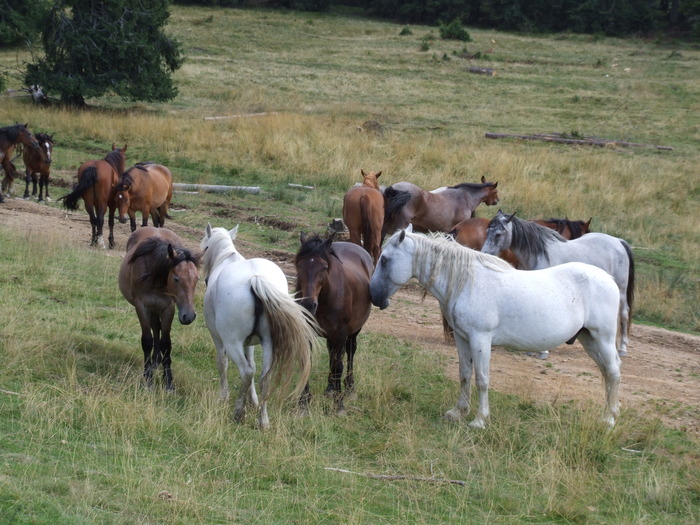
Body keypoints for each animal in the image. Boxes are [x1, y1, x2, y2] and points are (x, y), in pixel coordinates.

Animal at [117, 225, 202, 388]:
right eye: (176, 278)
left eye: (196, 279)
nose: (189, 316)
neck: (155, 278)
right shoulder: (142, 307)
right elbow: (147, 340)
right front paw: (148, 378)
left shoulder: (168, 308)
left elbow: (166, 343)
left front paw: (168, 382)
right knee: (155, 330)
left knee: (157, 330)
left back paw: (157, 361)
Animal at [197, 223, 318, 428]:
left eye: (204, 245)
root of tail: (255, 279)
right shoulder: (251, 343)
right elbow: (253, 365)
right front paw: (253, 401)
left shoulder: (219, 340)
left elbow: (223, 364)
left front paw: (224, 397)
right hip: (268, 342)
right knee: (264, 377)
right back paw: (263, 421)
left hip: (232, 343)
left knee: (246, 372)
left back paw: (239, 411)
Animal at [294, 231, 374, 412]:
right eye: (299, 265)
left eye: (324, 267)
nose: (308, 304)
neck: (324, 298)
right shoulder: (308, 331)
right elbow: (307, 362)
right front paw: (304, 402)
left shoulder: (341, 333)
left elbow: (339, 366)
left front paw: (339, 405)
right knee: (332, 353)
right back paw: (330, 388)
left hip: (353, 331)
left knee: (350, 352)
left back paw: (349, 388)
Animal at [370, 227, 620, 428]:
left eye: (385, 260)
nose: (373, 295)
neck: (467, 282)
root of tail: (609, 279)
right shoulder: (462, 339)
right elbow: (464, 374)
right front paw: (458, 412)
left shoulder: (480, 339)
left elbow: (482, 379)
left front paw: (480, 420)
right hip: (589, 339)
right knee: (606, 373)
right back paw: (607, 414)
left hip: (603, 338)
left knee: (614, 372)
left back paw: (609, 419)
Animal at [482, 211, 636, 358]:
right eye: (487, 231)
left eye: (498, 234)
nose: (484, 253)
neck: (540, 254)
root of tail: (618, 242)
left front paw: (543, 352)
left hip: (621, 291)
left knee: (623, 315)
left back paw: (622, 349)